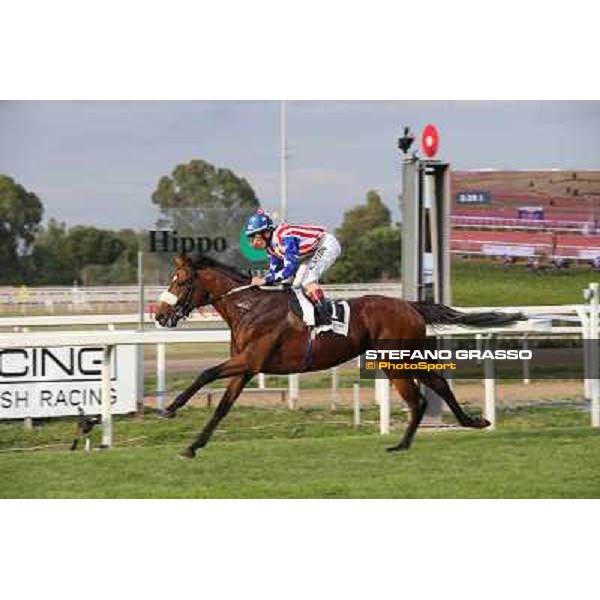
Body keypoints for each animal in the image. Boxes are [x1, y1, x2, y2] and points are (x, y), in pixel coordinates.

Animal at [156, 253, 524, 460]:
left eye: (180, 281)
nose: (159, 315)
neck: (250, 307)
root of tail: (410, 305)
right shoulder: (246, 368)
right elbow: (222, 407)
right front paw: (192, 446)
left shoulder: (250, 361)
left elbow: (204, 373)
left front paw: (169, 409)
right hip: (406, 356)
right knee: (437, 385)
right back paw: (471, 422)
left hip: (395, 359)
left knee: (419, 399)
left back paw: (402, 445)